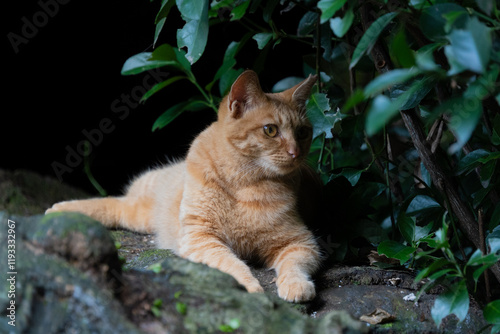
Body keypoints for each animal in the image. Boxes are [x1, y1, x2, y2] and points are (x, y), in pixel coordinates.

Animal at [47, 71, 320, 302]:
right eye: (270, 130)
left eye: (303, 132)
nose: (295, 153)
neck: (247, 183)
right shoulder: (201, 238)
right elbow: (232, 265)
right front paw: (250, 288)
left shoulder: (299, 242)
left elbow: (294, 265)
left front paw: (296, 285)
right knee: (113, 203)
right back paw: (58, 210)